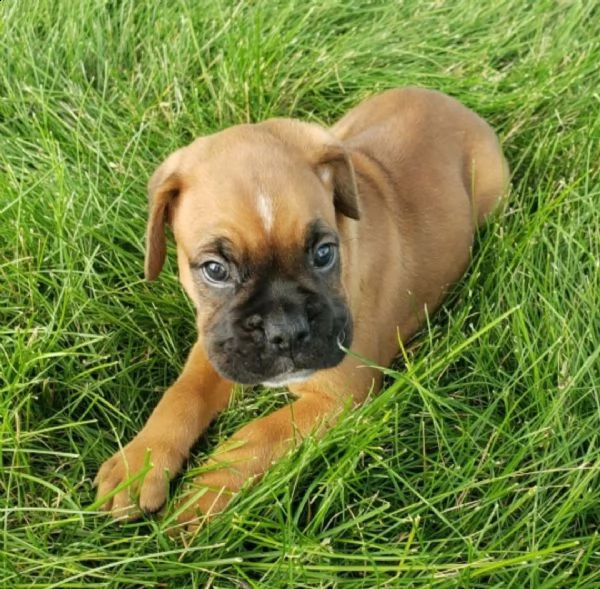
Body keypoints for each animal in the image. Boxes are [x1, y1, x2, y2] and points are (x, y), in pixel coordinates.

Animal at [94, 86, 506, 528]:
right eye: (215, 270)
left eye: (323, 253)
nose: (285, 332)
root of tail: (449, 101)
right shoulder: (217, 347)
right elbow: (183, 394)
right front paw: (139, 464)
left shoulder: (337, 399)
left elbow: (253, 437)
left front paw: (199, 501)